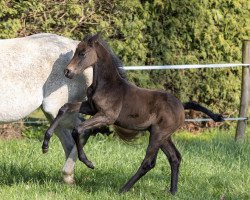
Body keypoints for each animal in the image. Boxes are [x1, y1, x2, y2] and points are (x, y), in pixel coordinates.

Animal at [42, 34, 224, 194]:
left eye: (83, 53)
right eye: (75, 52)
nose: (67, 72)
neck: (107, 84)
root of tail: (181, 105)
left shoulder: (106, 116)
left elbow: (77, 129)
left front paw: (88, 162)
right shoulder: (90, 108)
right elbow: (64, 108)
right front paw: (45, 144)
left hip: (158, 134)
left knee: (149, 162)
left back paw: (123, 189)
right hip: (163, 135)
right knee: (175, 157)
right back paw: (173, 191)